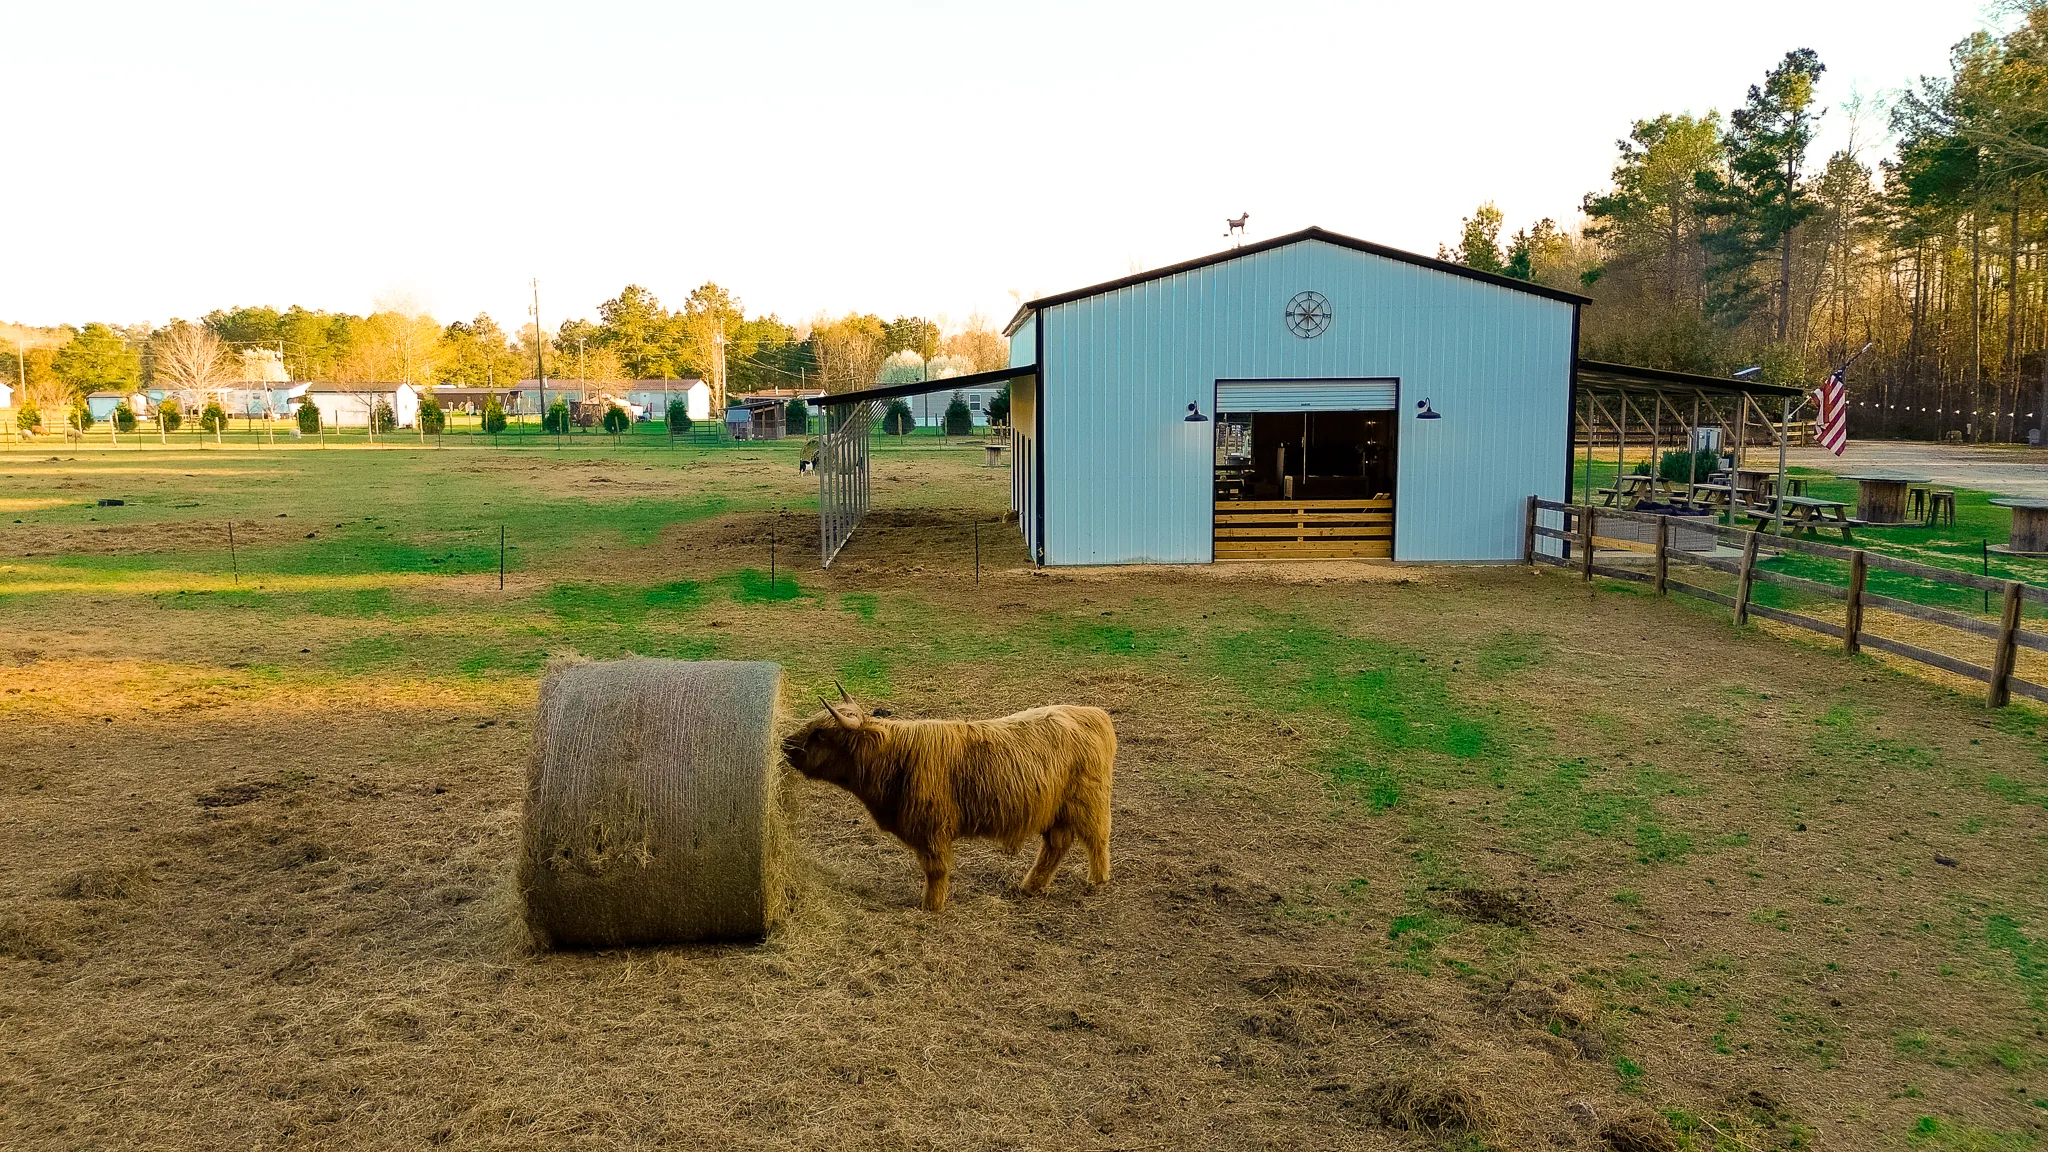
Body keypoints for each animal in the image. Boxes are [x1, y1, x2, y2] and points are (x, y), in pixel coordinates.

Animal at [781, 692, 1115, 911]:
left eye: (821, 734)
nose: (785, 743)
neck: (893, 759)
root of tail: (1090, 713)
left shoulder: (932, 828)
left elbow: (936, 868)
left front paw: (932, 906)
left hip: (1088, 802)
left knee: (1097, 838)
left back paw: (1097, 880)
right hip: (1056, 810)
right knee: (1057, 844)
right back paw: (1030, 886)